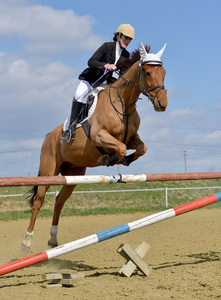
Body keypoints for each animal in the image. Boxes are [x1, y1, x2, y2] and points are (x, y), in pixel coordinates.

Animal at [22, 42, 167, 251]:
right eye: (147, 73)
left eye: (163, 72)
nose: (162, 104)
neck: (124, 103)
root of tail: (49, 136)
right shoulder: (99, 136)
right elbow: (120, 148)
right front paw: (108, 158)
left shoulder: (132, 138)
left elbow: (140, 148)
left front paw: (124, 160)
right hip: (49, 170)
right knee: (38, 201)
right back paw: (27, 241)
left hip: (73, 174)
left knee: (59, 201)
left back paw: (53, 239)